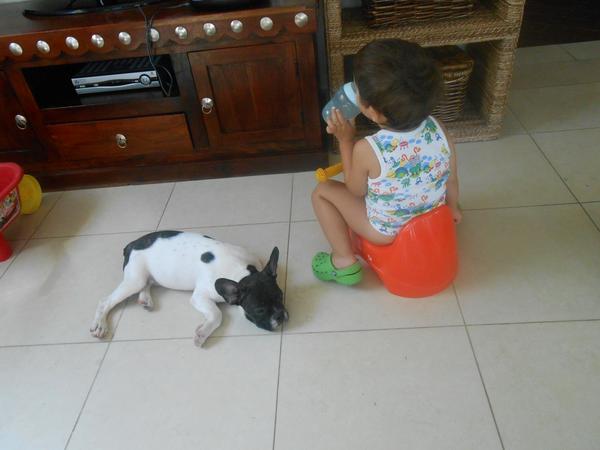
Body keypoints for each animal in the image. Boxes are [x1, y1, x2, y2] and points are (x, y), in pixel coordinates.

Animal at [90, 230, 288, 347]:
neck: (241, 273)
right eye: (259, 310)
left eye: (280, 297)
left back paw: (145, 299)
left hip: (152, 276)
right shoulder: (200, 297)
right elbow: (217, 314)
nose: (280, 315)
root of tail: (131, 244)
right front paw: (202, 333)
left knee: (148, 283)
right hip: (134, 280)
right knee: (105, 301)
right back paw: (100, 324)